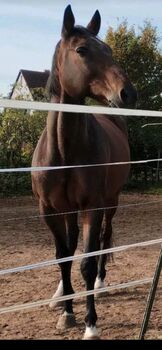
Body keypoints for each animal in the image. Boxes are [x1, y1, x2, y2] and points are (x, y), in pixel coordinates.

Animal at [31, 4, 137, 340]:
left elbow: (87, 264)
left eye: (109, 50)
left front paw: (91, 323)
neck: (65, 151)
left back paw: (101, 284)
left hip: (110, 202)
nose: (128, 94)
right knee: (72, 244)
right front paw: (66, 312)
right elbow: (63, 257)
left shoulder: (93, 206)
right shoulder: (49, 210)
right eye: (82, 50)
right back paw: (58, 295)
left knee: (104, 239)